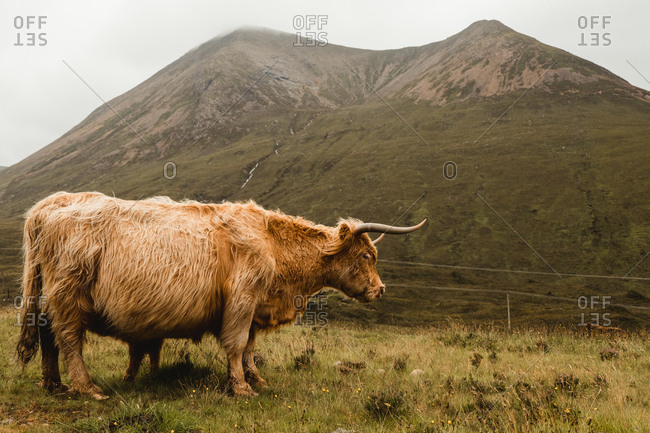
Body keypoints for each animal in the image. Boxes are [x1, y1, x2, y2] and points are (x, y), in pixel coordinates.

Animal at [16, 191, 425, 400]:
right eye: (367, 255)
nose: (381, 289)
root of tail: (45, 210)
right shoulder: (241, 301)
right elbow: (236, 344)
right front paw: (241, 387)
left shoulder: (256, 307)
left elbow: (249, 347)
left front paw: (256, 379)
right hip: (69, 295)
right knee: (69, 339)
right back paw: (87, 388)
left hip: (49, 300)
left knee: (48, 337)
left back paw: (53, 384)